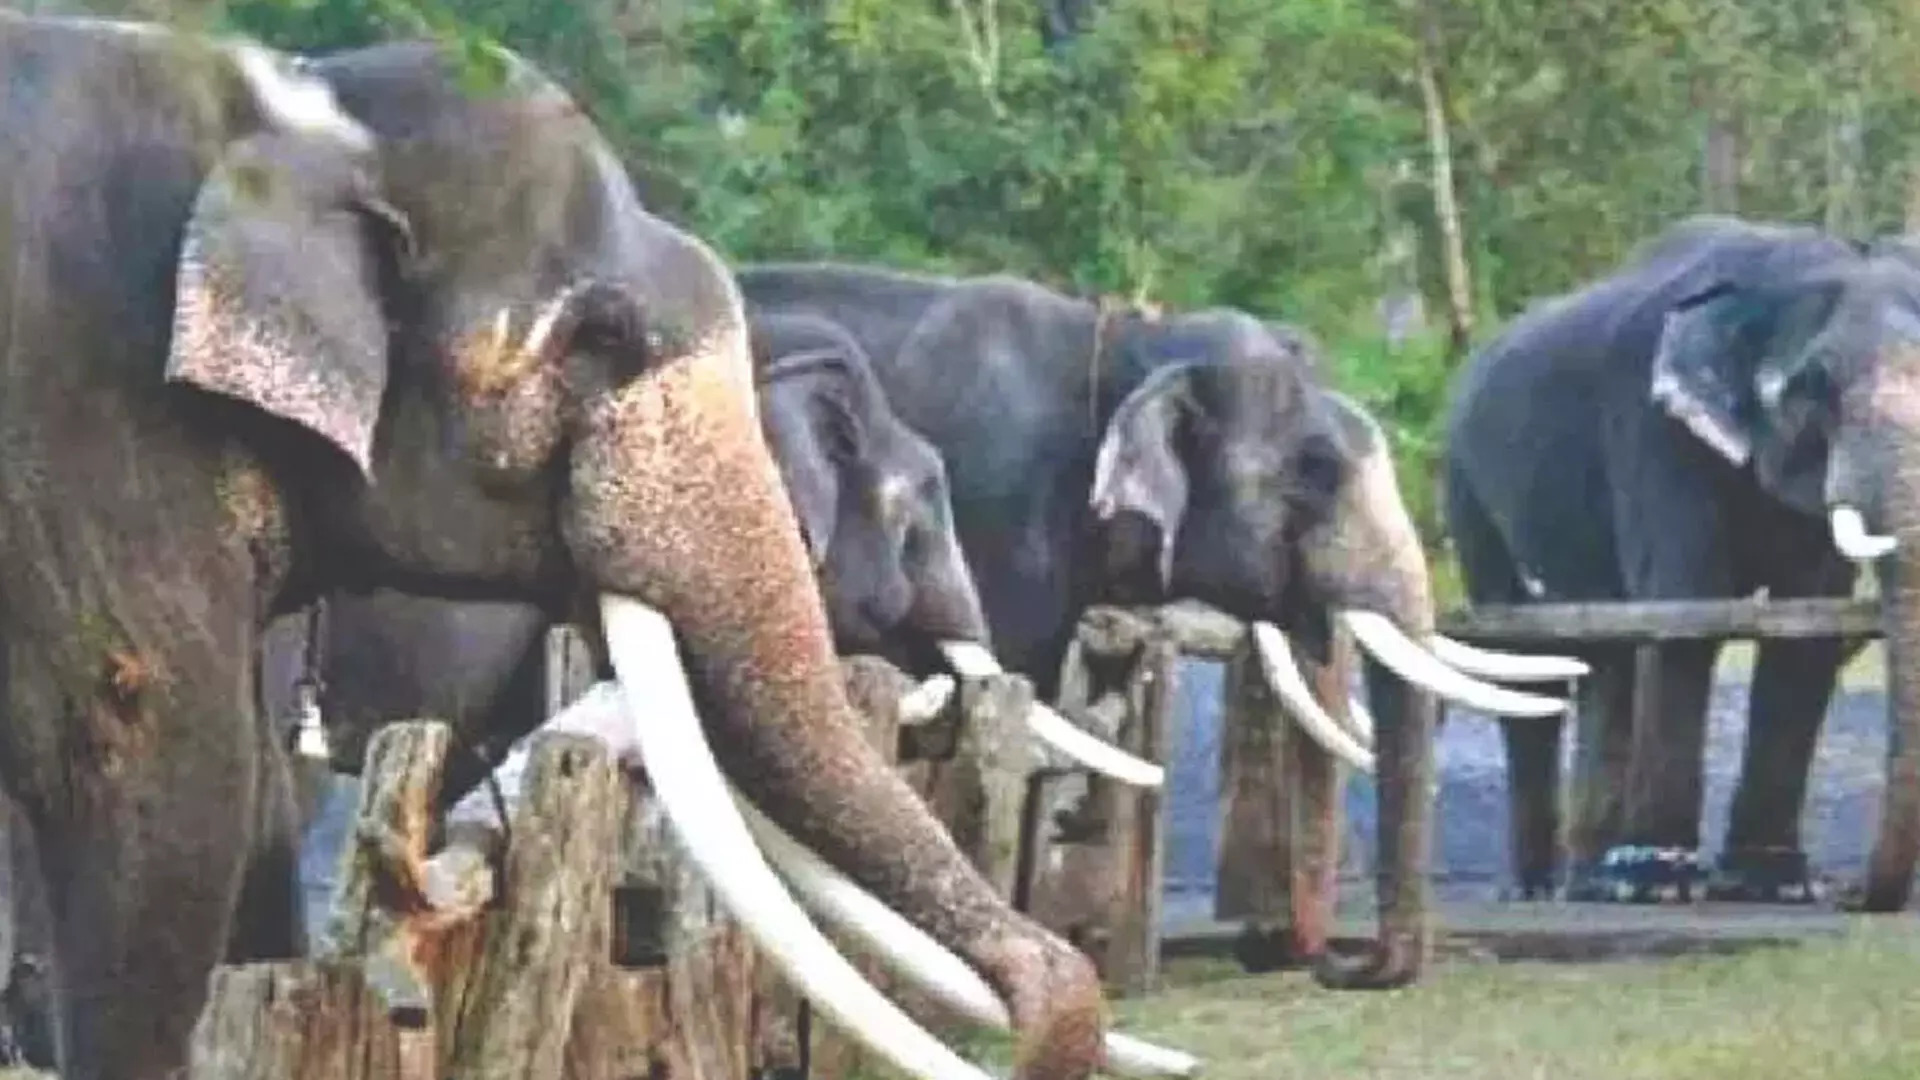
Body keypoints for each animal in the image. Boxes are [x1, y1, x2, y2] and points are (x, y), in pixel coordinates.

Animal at [1443, 214, 1920, 903]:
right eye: (1813, 386)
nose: (1853, 893)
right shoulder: (1652, 433)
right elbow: (1686, 613)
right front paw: (1659, 884)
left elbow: (1808, 629)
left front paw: (1771, 885)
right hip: (1465, 487)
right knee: (1525, 658)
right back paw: (1543, 888)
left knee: (1607, 658)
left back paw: (1592, 882)